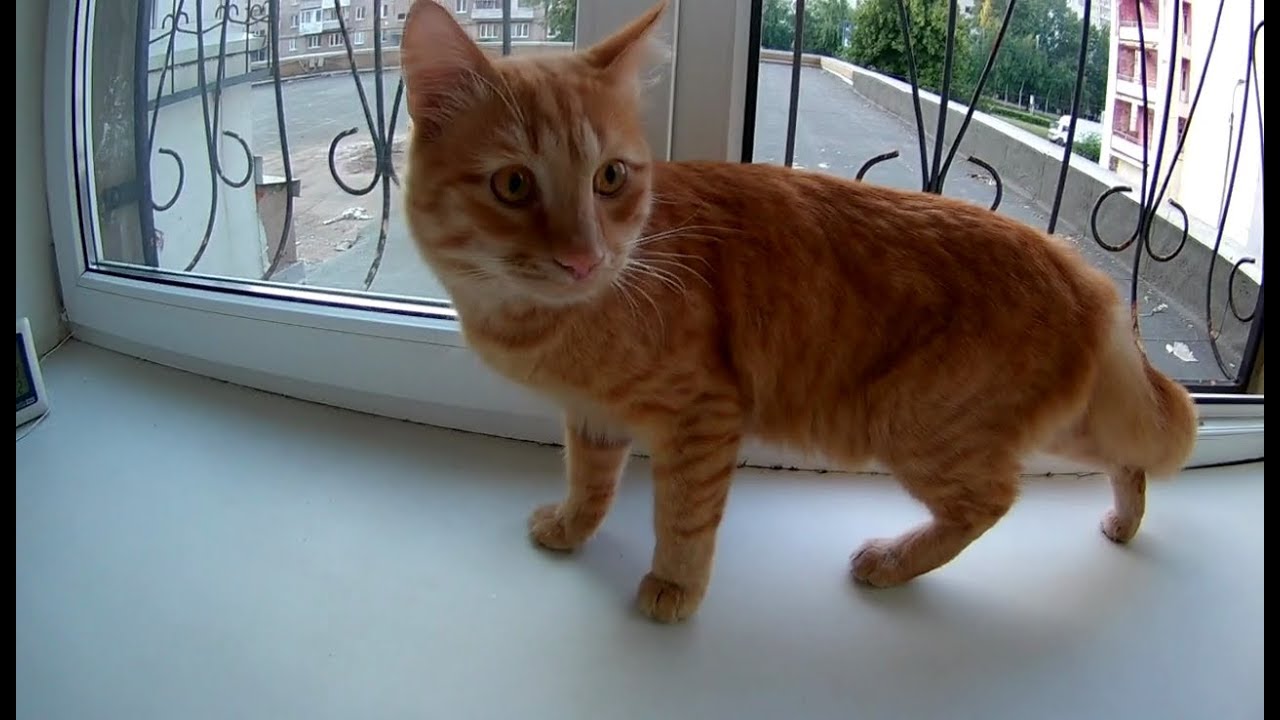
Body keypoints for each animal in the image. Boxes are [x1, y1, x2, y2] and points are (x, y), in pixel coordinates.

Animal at [398, 0, 1198, 623]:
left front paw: (673, 588)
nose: (584, 257)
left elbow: (683, 516)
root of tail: (1085, 273)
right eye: (512, 185)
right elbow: (590, 485)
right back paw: (1125, 521)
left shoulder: (702, 414)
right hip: (1040, 424)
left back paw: (892, 560)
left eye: (610, 177)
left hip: (918, 424)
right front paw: (570, 528)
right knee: (1130, 458)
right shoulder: (593, 417)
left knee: (993, 502)